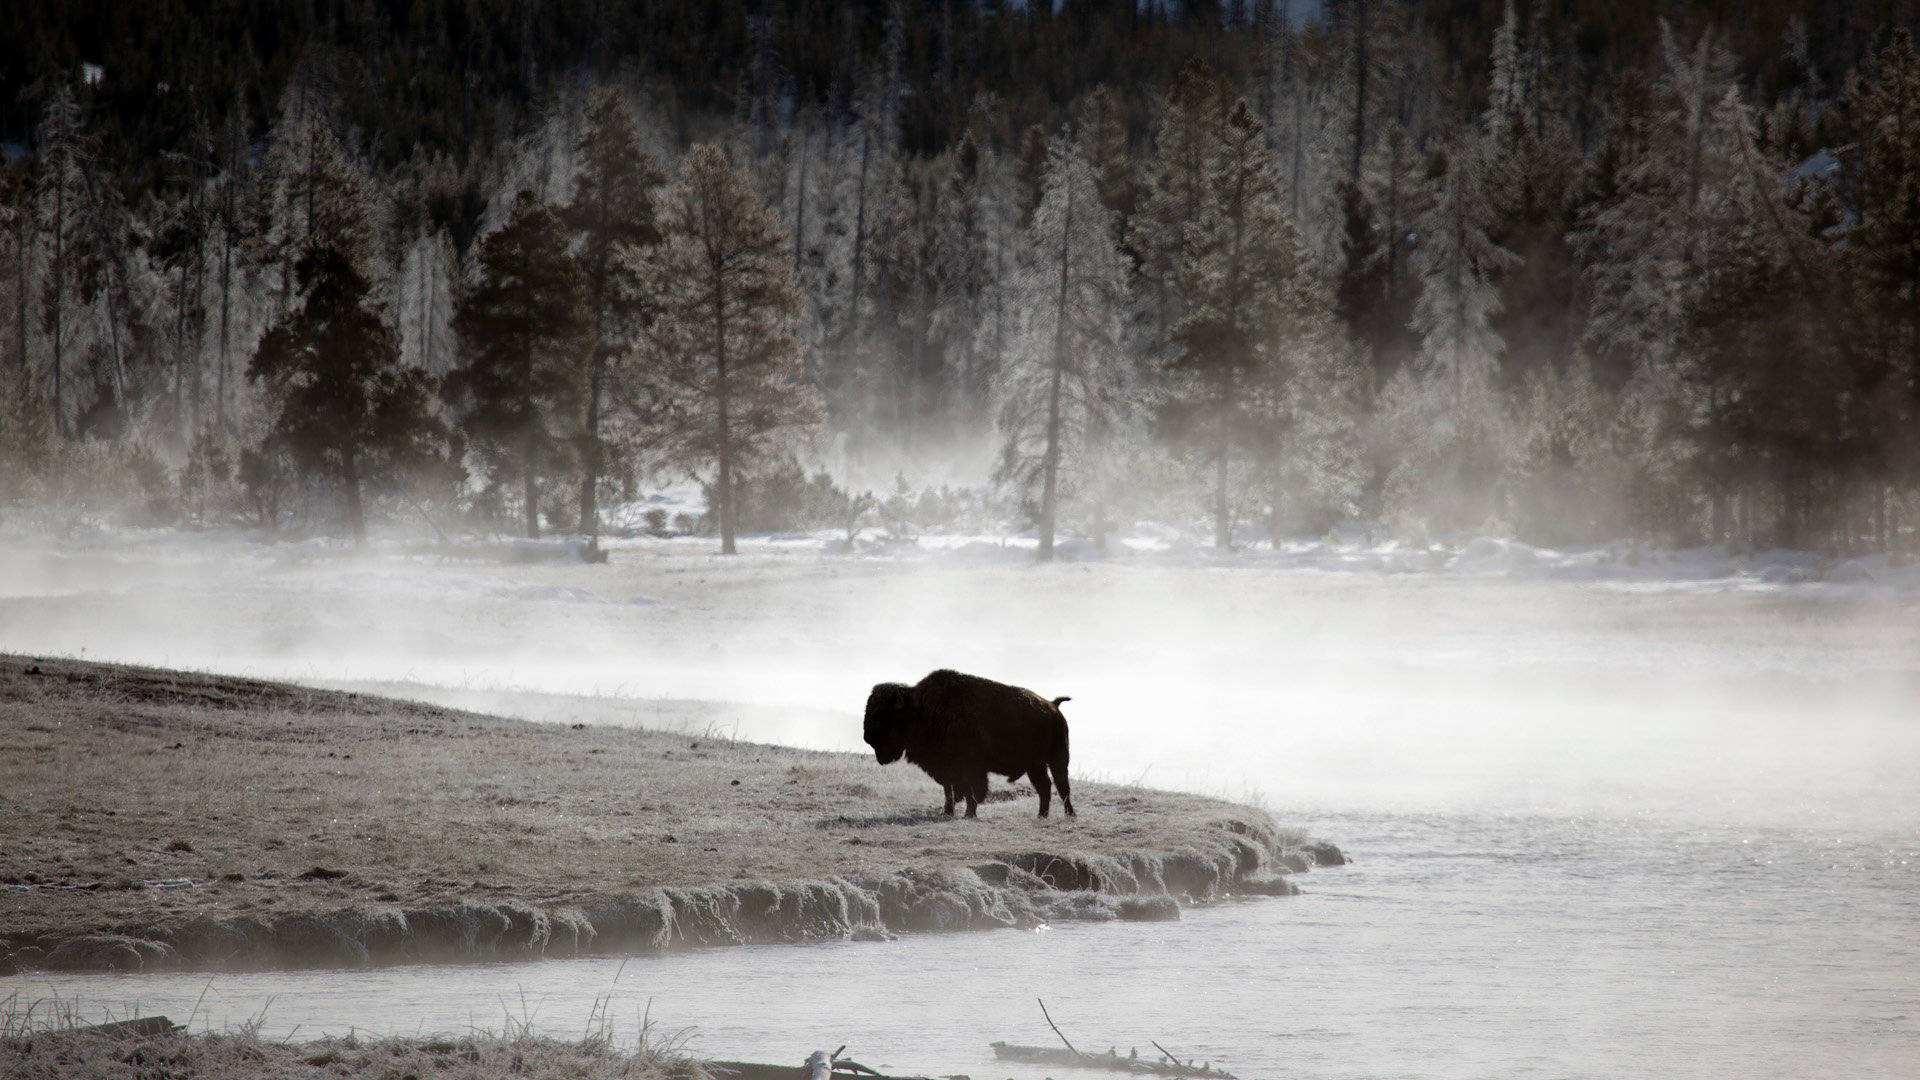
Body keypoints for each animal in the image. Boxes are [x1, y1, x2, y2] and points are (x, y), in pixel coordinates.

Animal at [862, 669, 1075, 818]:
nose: (867, 737)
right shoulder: (947, 769)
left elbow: (970, 791)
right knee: (1046, 787)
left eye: (881, 714)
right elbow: (950, 791)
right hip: (1035, 765)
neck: (922, 709)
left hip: (1057, 759)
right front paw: (948, 811)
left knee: (1061, 786)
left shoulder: (971, 769)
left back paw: (1068, 814)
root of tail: (1053, 706)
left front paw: (969, 814)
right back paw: (1042, 815)